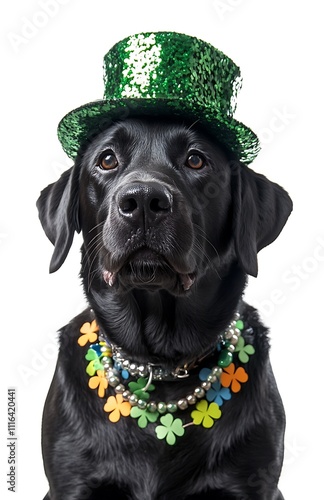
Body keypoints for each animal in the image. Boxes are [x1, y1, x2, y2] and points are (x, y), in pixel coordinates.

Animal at [36, 116, 292, 496]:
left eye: (196, 160)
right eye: (107, 160)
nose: (143, 199)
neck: (161, 365)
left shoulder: (253, 483)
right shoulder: (72, 484)